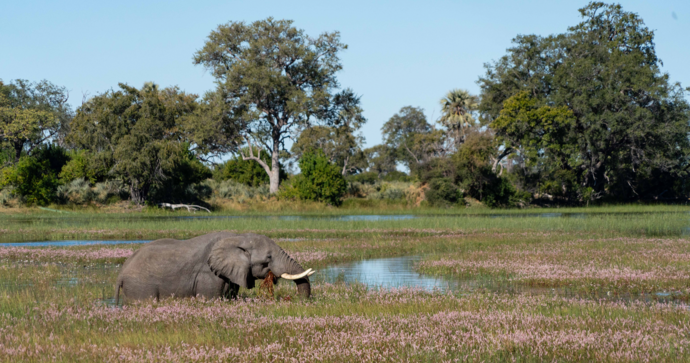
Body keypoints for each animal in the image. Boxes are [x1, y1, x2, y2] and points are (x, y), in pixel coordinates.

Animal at [114, 233, 314, 304]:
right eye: (268, 258)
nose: (295, 300)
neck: (238, 237)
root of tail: (121, 272)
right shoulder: (208, 275)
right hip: (140, 285)